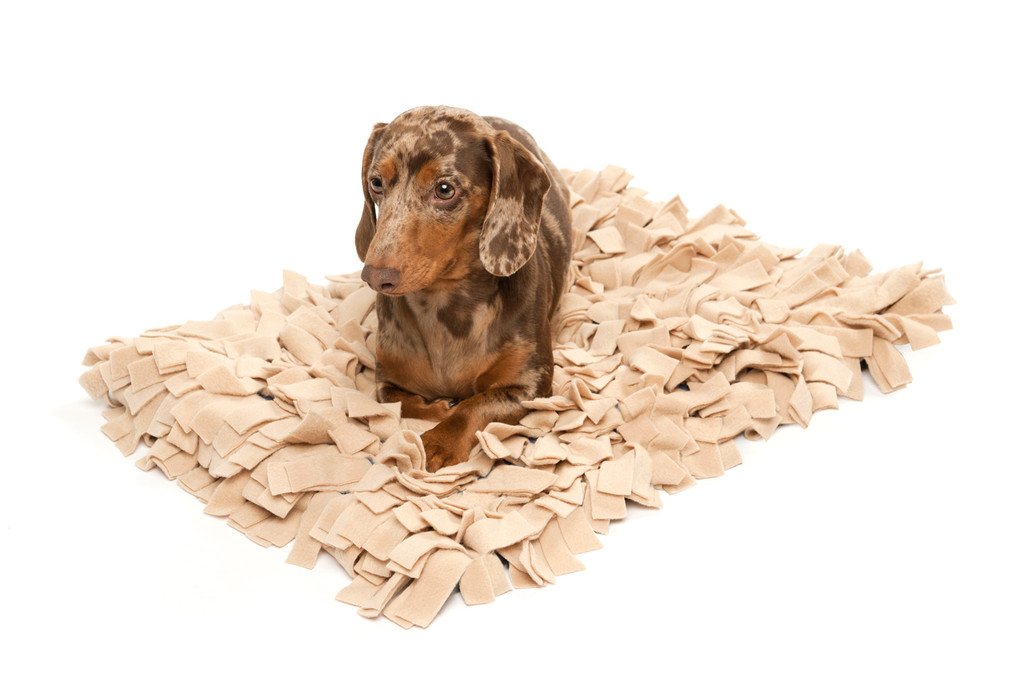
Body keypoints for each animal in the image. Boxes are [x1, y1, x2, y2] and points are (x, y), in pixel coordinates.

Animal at [356, 107, 573, 473]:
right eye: (376, 183)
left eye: (445, 189)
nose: (375, 276)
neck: (447, 308)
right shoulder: (386, 380)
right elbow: (403, 403)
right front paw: (438, 409)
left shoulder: (530, 385)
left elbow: (474, 406)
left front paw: (438, 442)